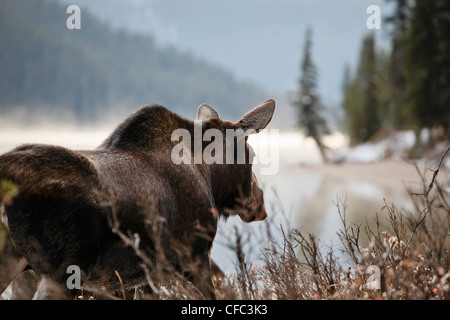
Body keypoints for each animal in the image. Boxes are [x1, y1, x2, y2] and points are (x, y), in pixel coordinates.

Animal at [0, 99, 276, 298]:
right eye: (250, 154)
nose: (260, 201)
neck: (209, 177)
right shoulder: (194, 256)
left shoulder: (144, 280)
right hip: (62, 270)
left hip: (18, 266)